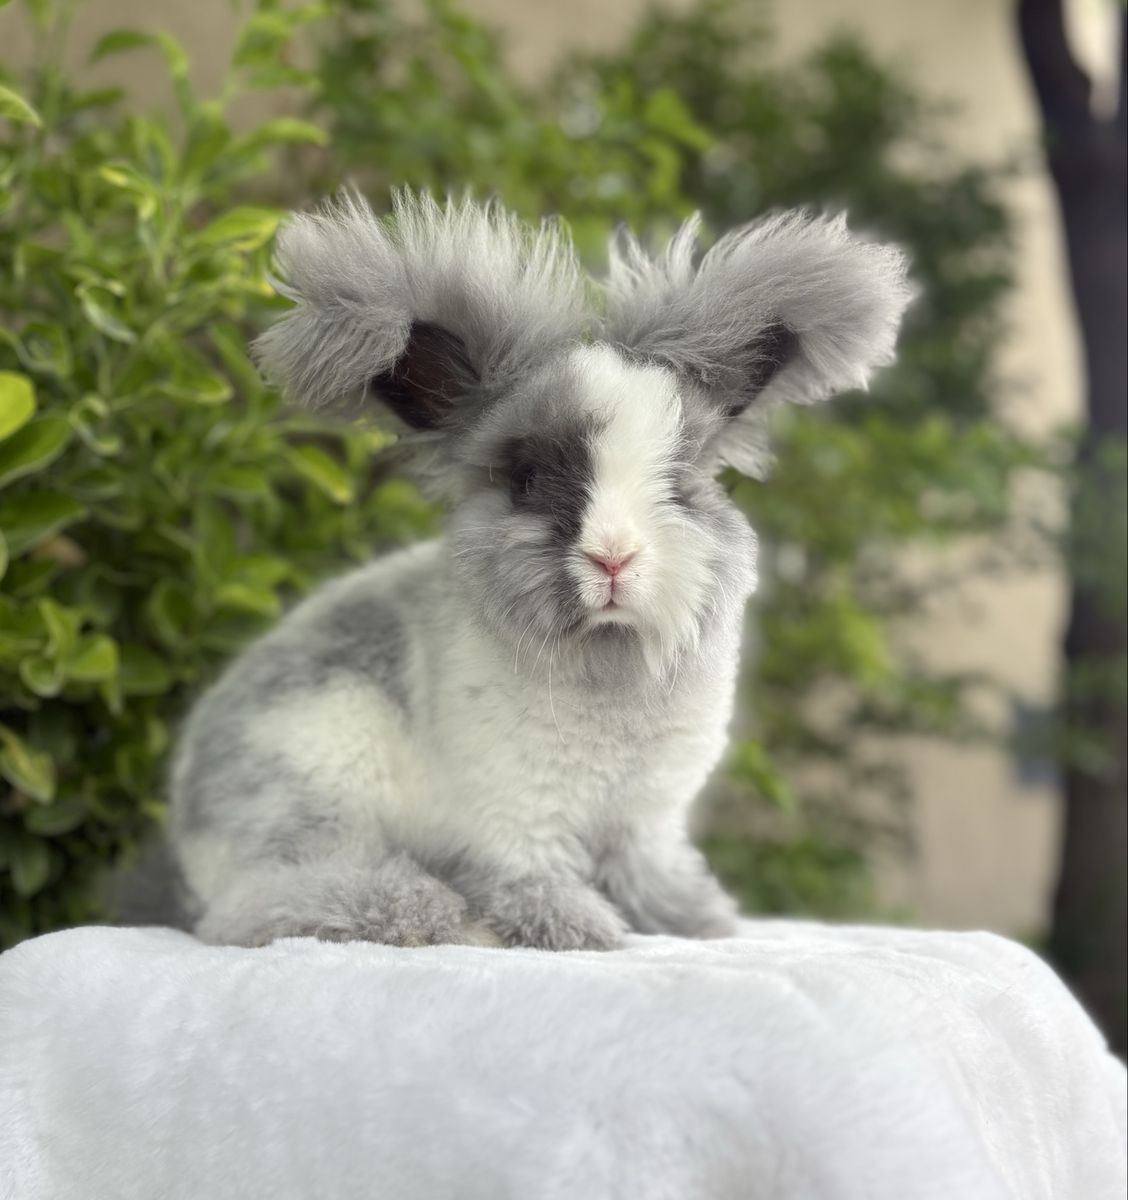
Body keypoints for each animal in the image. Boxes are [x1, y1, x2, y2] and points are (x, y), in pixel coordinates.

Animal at [150, 190, 912, 951]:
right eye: (527, 481)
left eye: (681, 483)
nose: (614, 556)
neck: (607, 661)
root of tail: (186, 823)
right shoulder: (517, 815)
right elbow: (530, 877)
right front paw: (581, 929)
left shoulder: (645, 818)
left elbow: (650, 872)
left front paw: (693, 921)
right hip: (315, 792)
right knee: (259, 906)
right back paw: (425, 914)